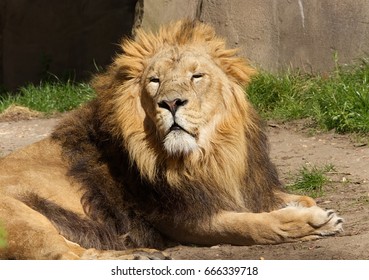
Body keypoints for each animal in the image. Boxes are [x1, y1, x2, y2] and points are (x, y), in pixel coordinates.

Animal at [0, 20, 342, 260]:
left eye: (196, 76)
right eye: (155, 80)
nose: (171, 102)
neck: (207, 156)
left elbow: (294, 199)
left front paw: (306, 208)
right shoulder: (182, 219)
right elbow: (249, 225)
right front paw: (312, 223)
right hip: (21, 217)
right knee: (65, 256)